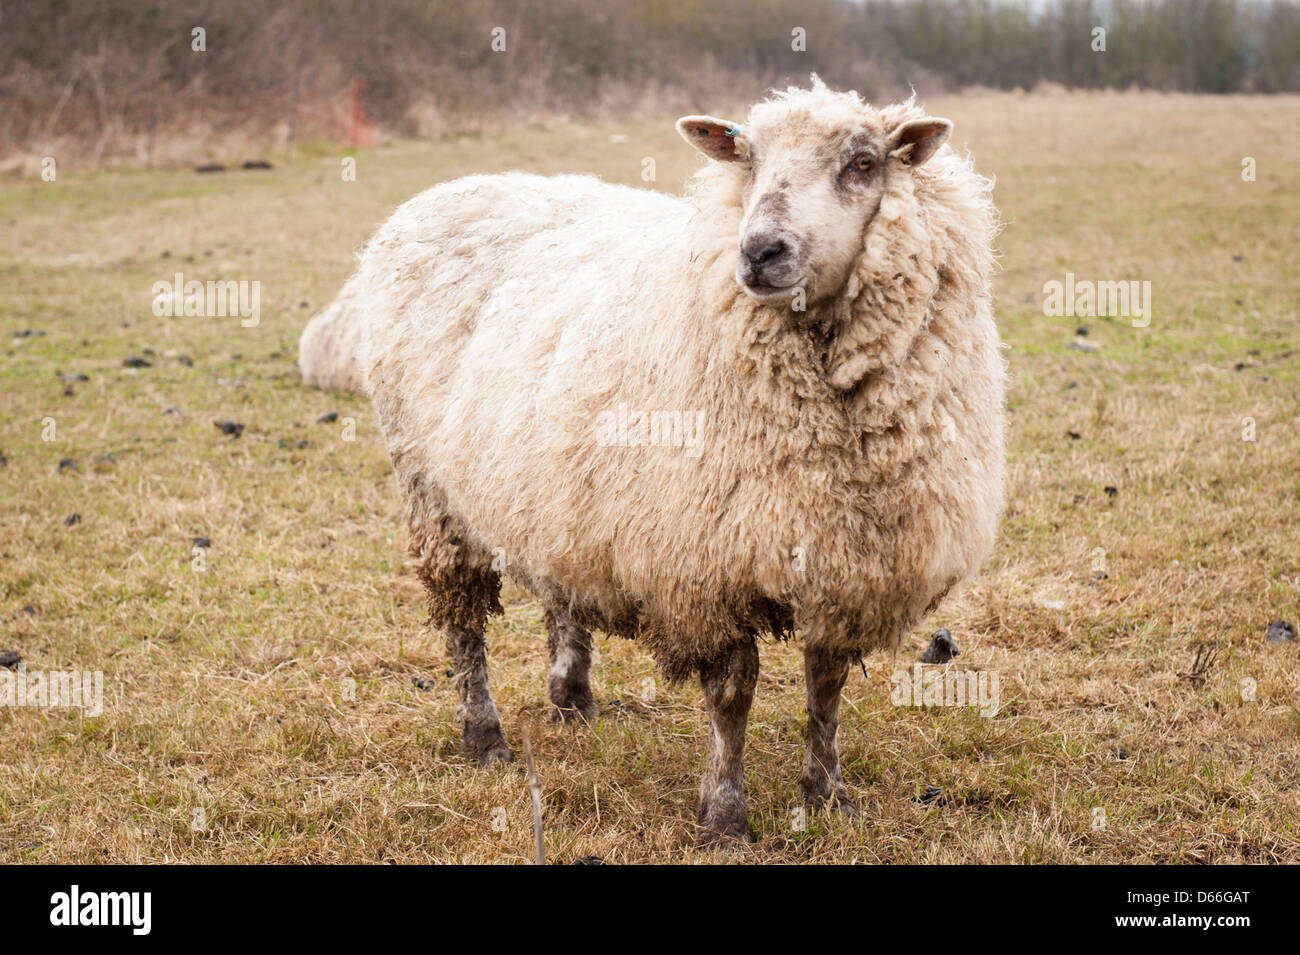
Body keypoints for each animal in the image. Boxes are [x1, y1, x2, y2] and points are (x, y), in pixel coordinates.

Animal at [347, 78, 1005, 846]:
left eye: (864, 162)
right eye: (747, 158)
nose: (760, 252)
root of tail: (448, 189)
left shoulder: (846, 560)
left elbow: (826, 685)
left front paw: (827, 796)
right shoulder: (706, 565)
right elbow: (732, 693)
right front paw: (723, 817)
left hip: (548, 485)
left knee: (557, 587)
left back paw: (572, 698)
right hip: (430, 488)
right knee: (462, 621)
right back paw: (483, 737)